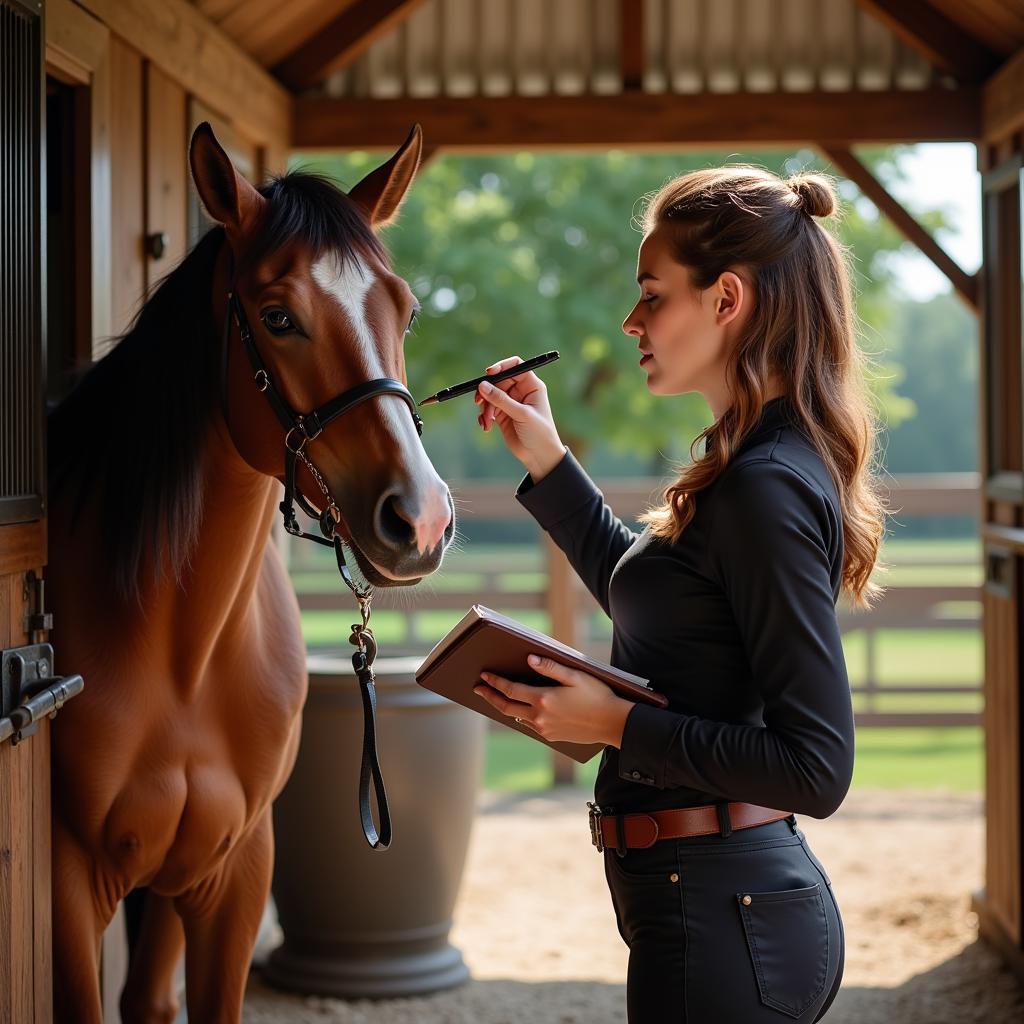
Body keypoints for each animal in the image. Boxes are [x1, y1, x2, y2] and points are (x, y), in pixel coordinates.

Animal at [44, 123, 452, 1019]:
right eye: (277, 316)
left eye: (405, 310)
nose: (421, 520)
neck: (182, 653)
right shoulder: (67, 883)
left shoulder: (230, 872)